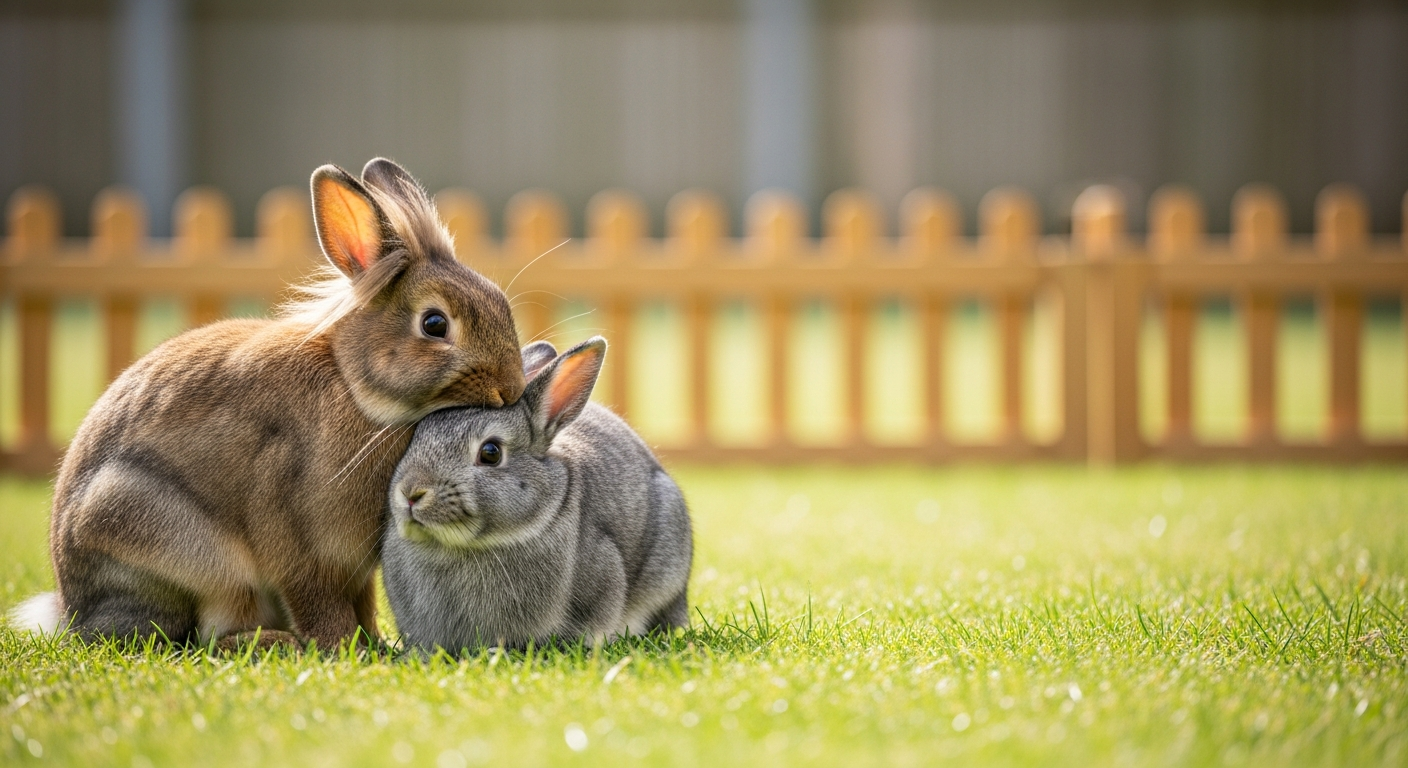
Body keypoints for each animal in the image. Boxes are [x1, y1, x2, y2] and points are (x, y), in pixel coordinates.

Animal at [9, 158, 525, 649]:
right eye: (435, 324)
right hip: (181, 550)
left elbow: (361, 604)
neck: (355, 388)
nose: (512, 388)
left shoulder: (356, 571)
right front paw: (345, 649)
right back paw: (277, 644)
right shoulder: (299, 541)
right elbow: (318, 601)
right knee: (199, 636)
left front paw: (377, 645)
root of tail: (74, 612)